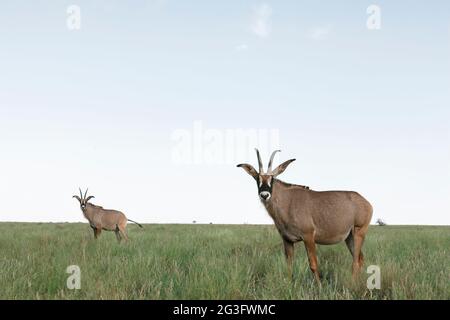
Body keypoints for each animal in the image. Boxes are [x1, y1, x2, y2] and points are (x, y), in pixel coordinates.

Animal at [236, 149, 372, 280]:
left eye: (272, 179)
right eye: (257, 178)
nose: (264, 195)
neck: (288, 201)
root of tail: (366, 202)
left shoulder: (308, 237)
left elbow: (313, 265)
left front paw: (319, 286)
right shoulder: (287, 240)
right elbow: (289, 266)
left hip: (358, 233)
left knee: (355, 261)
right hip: (349, 237)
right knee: (360, 259)